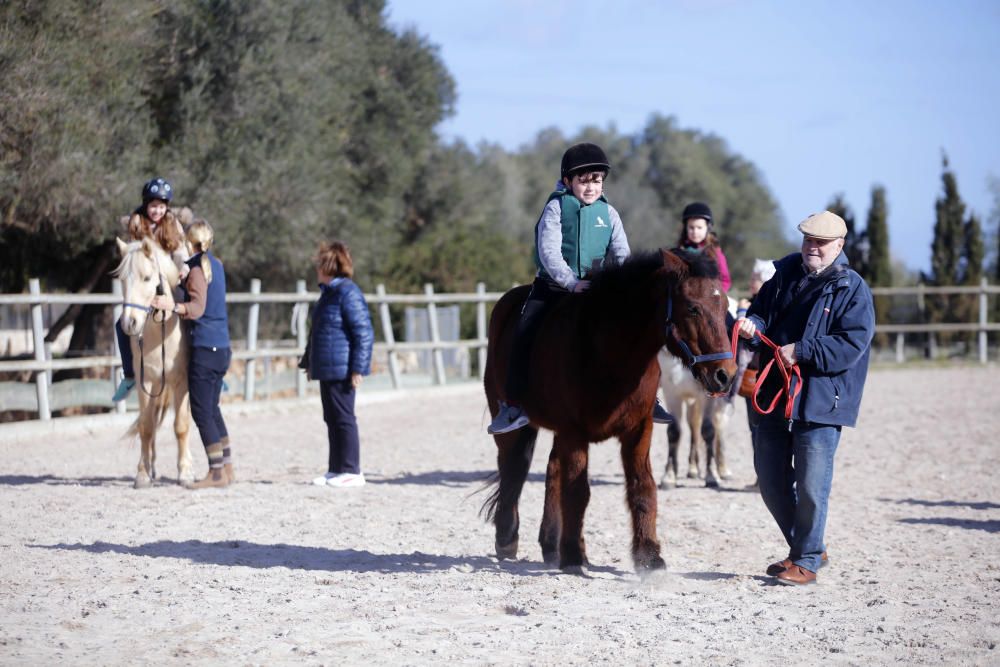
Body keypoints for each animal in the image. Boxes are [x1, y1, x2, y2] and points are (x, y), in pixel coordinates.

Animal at [114, 237, 193, 488]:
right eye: (122, 279)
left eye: (147, 278)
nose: (129, 323)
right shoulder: (145, 382)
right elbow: (146, 427)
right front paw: (142, 473)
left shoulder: (181, 383)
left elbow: (181, 425)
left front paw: (185, 472)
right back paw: (153, 467)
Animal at [480, 248, 740, 572]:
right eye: (693, 308)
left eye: (724, 306)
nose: (725, 375)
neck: (608, 351)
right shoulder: (573, 432)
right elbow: (578, 491)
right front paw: (574, 556)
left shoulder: (639, 428)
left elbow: (642, 486)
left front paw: (649, 555)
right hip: (511, 421)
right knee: (512, 467)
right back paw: (508, 539)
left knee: (551, 471)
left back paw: (550, 545)